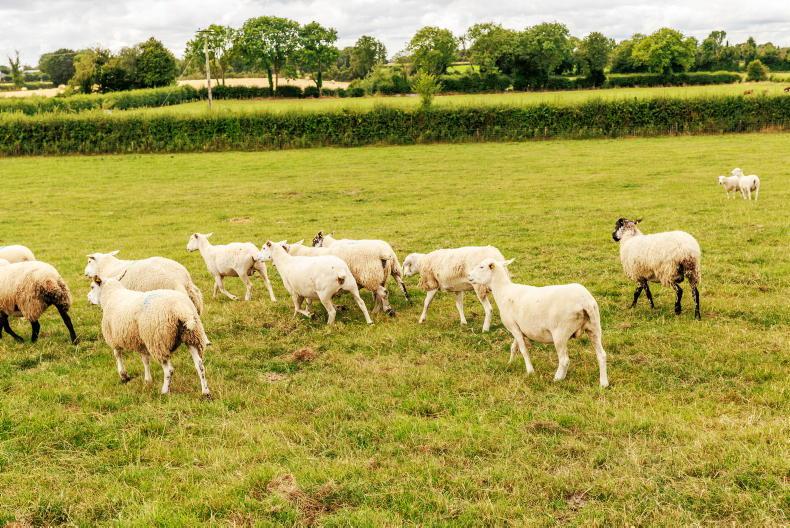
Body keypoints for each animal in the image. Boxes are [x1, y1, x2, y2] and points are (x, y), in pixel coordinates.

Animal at [468, 258, 608, 387]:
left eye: (481, 267)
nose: (469, 276)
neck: (504, 291)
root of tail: (585, 301)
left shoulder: (513, 327)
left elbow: (523, 350)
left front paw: (530, 371)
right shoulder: (518, 328)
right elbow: (514, 347)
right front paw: (510, 363)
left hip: (560, 333)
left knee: (564, 360)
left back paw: (557, 379)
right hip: (594, 327)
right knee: (601, 355)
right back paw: (604, 383)